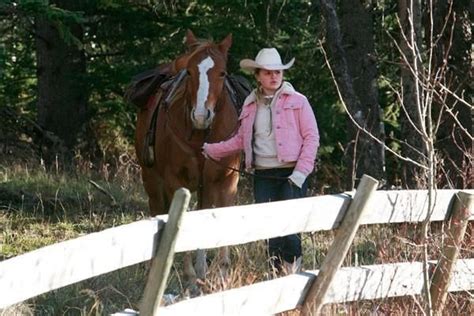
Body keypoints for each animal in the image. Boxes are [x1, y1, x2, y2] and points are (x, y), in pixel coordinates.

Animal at [135, 30, 243, 288]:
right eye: (191, 72)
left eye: (222, 72)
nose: (202, 115)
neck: (202, 135)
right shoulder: (176, 181)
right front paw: (189, 274)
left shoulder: (226, 181)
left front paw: (221, 273)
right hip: (151, 179)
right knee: (158, 209)